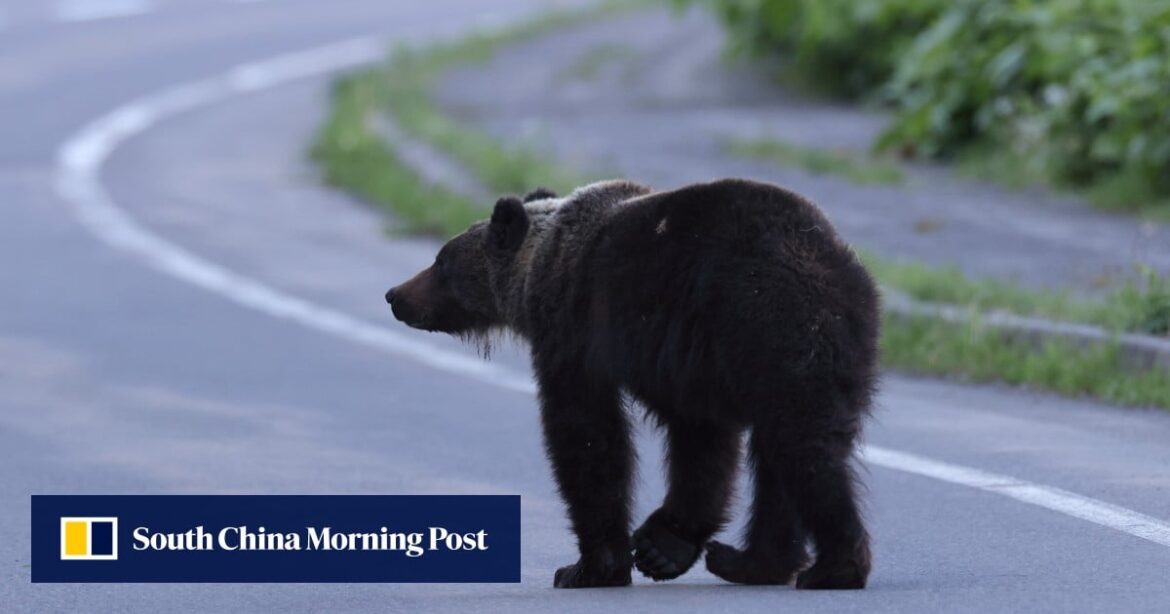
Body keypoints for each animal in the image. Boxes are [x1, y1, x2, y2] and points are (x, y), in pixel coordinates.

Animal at [385, 178, 879, 590]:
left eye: (440, 262)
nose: (395, 295)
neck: (538, 267)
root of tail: (835, 269)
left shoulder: (581, 329)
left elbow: (586, 434)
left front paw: (591, 566)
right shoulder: (687, 363)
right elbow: (702, 442)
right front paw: (665, 547)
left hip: (768, 324)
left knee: (801, 446)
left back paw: (835, 567)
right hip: (821, 348)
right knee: (780, 453)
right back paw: (753, 562)